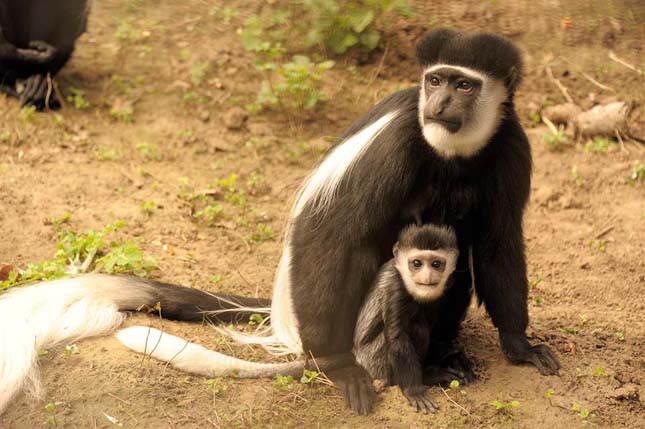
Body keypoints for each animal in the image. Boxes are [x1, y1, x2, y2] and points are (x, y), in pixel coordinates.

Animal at [113, 226, 460, 412]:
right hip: (376, 358)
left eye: (437, 264)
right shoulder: (397, 289)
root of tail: (355, 355)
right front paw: (415, 390)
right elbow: (399, 334)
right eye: (416, 263)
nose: (427, 277)